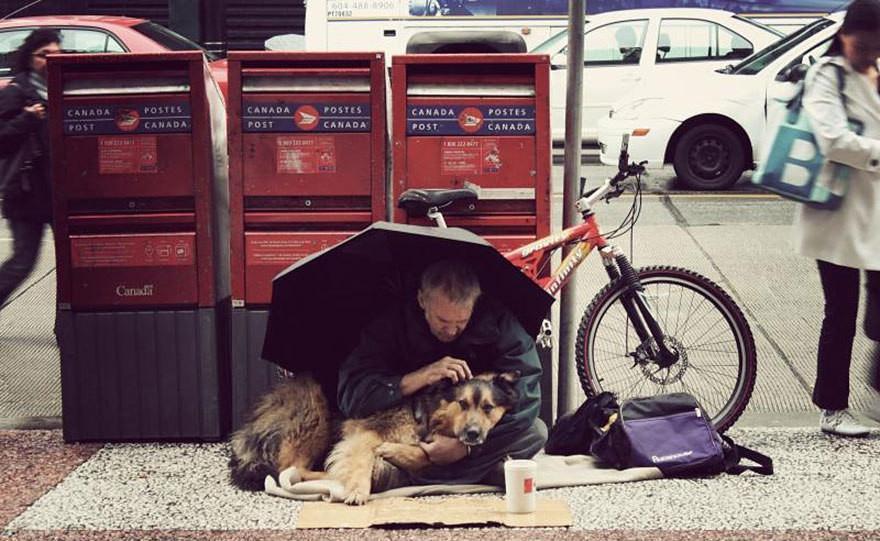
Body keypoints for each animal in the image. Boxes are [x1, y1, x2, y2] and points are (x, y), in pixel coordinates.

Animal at [227, 372, 520, 502]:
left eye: (488, 408)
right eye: (462, 403)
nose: (473, 434)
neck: (426, 412)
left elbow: (424, 456)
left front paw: (392, 452)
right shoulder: (362, 433)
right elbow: (361, 459)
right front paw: (358, 489)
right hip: (314, 410)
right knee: (289, 470)